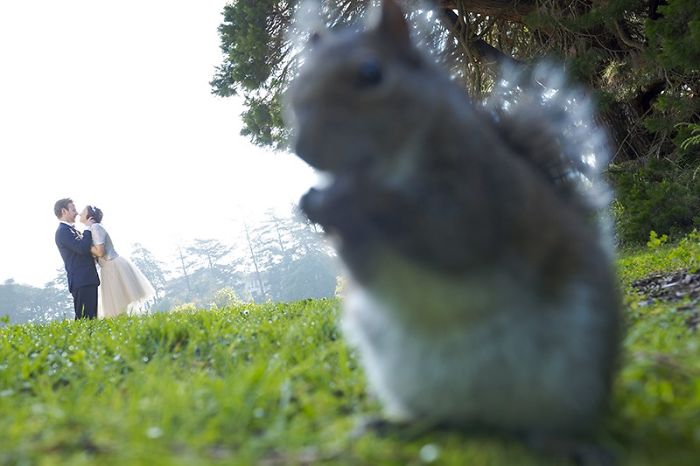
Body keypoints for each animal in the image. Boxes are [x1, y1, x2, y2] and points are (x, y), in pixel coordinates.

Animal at [287, 0, 621, 449]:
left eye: (371, 73)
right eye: (297, 83)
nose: (303, 148)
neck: (388, 166)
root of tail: (487, 420)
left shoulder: (478, 187)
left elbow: (451, 235)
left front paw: (351, 199)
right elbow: (365, 266)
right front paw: (316, 205)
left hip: (578, 366)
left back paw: (565, 443)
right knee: (438, 419)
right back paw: (395, 424)